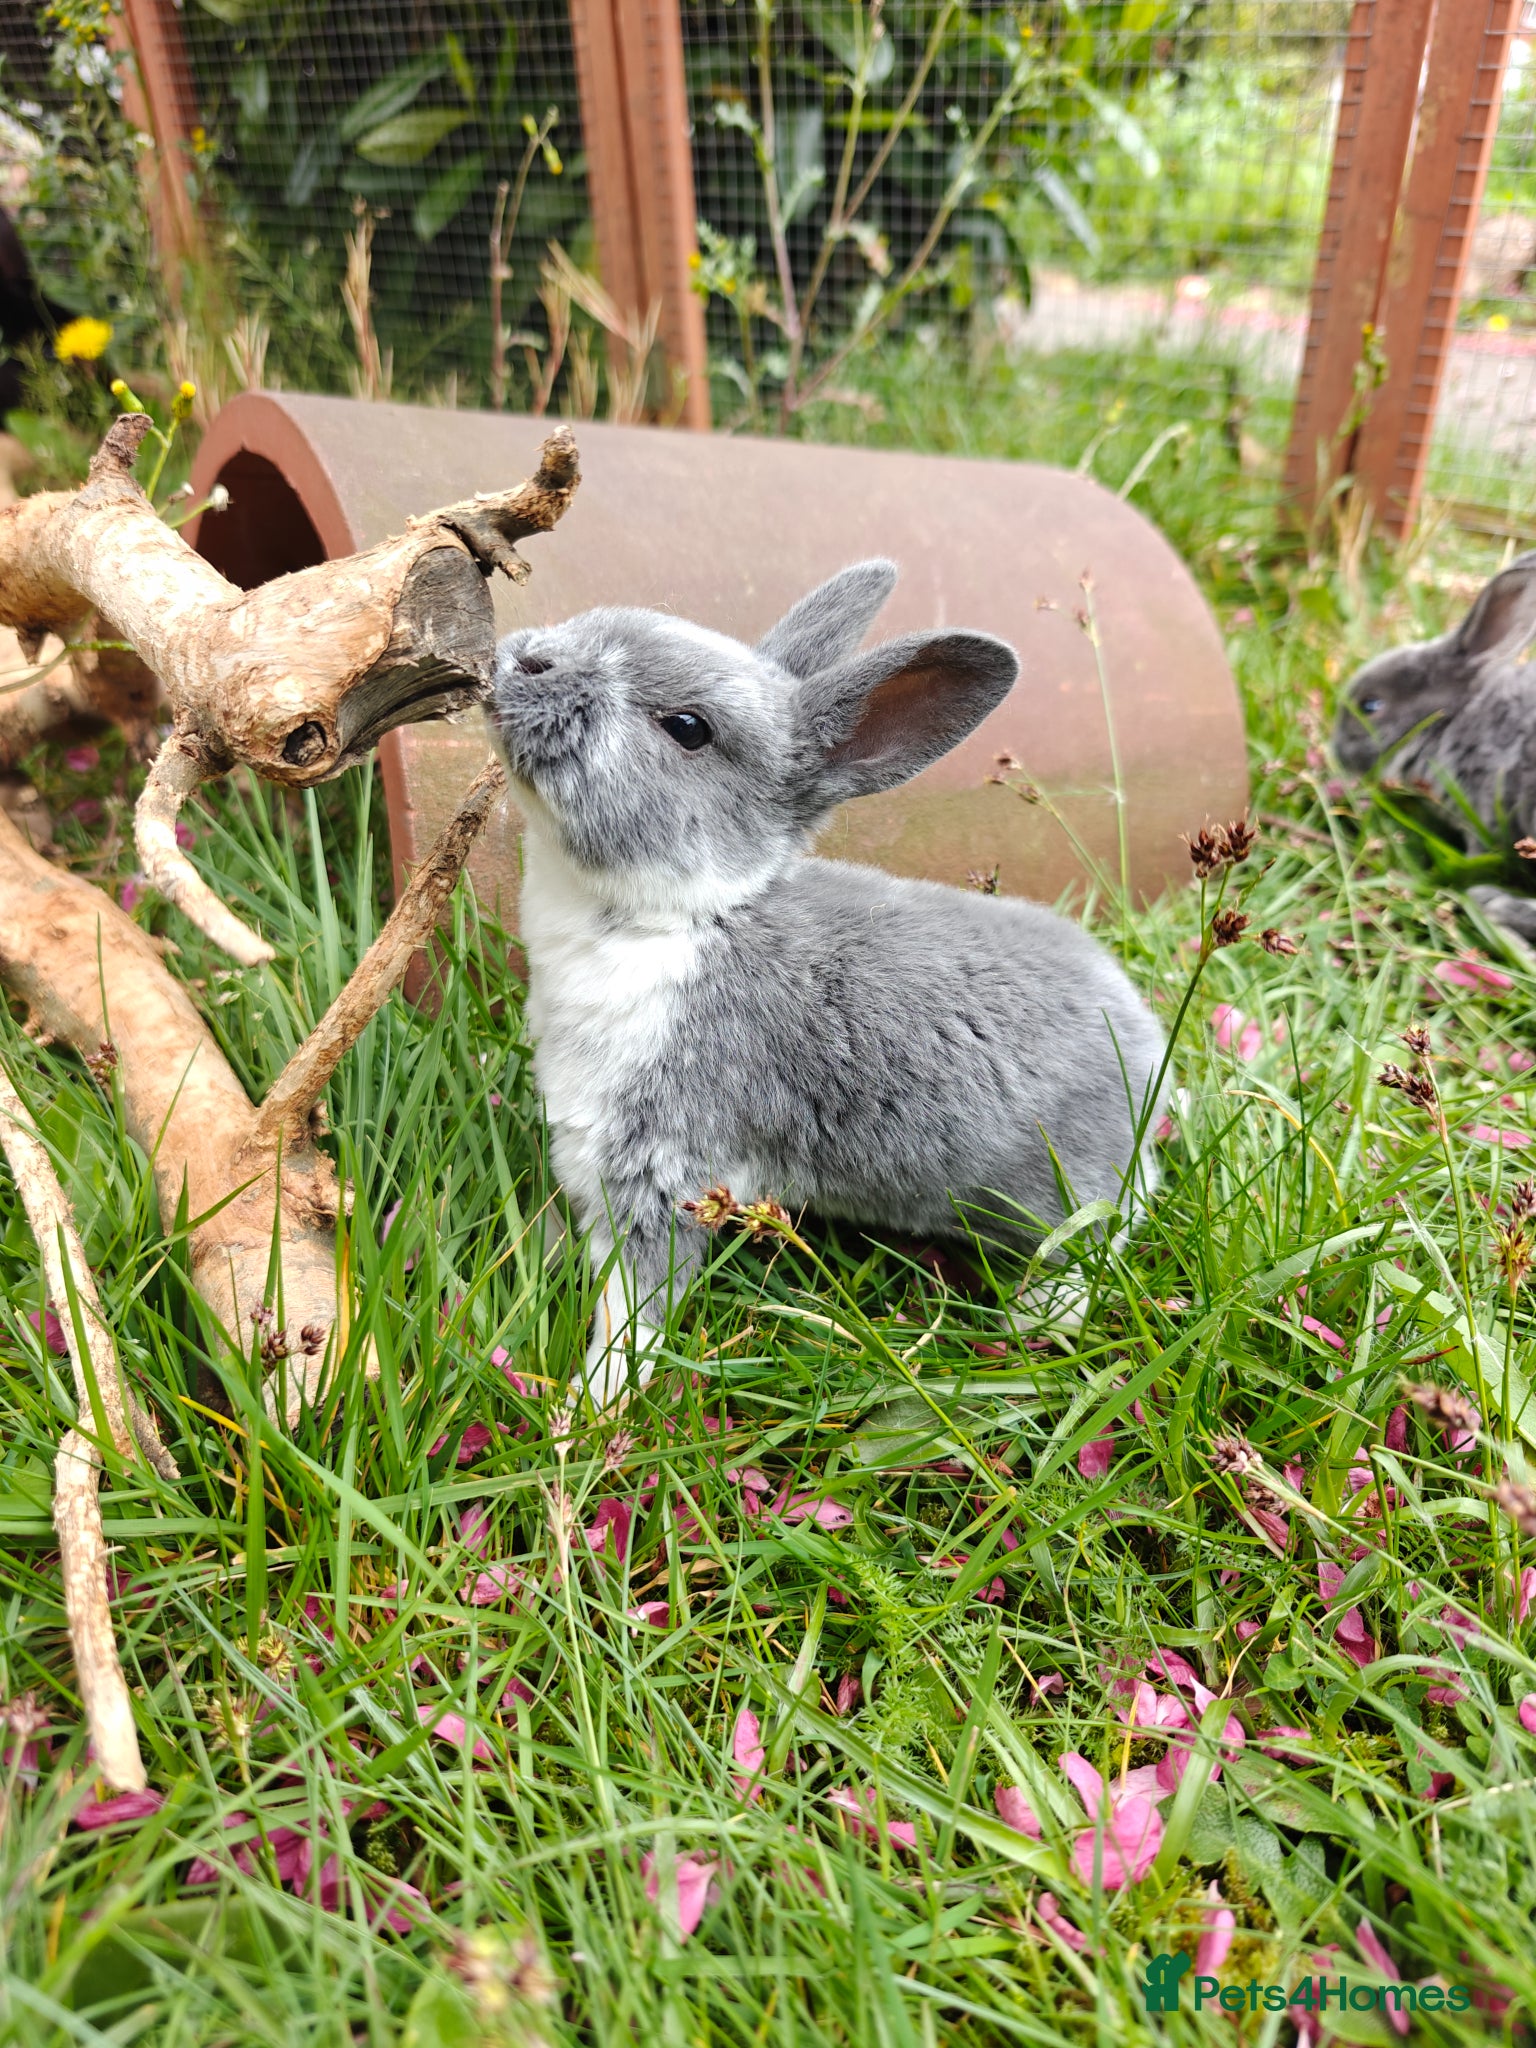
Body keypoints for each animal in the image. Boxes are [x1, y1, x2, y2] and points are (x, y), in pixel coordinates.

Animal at [489, 560, 1168, 1404]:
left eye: (687, 727)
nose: (527, 660)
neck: (689, 915)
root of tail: (1148, 1046)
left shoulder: (663, 1169)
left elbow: (633, 1311)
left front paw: (590, 1409)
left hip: (1061, 1189)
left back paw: (1028, 1325)